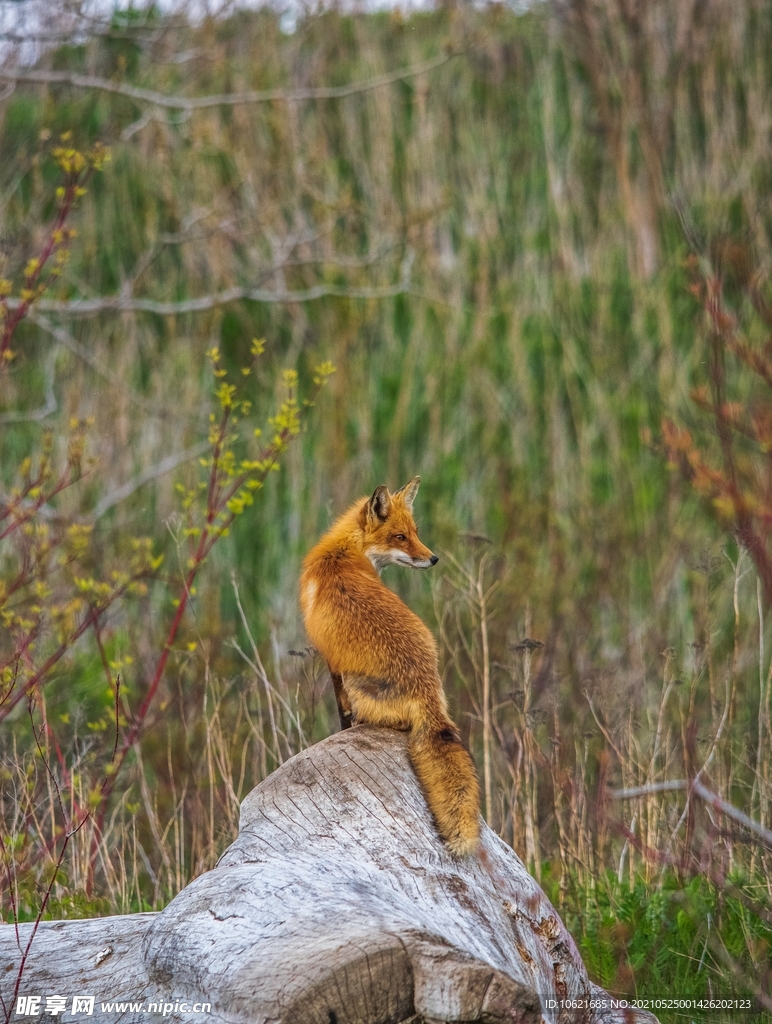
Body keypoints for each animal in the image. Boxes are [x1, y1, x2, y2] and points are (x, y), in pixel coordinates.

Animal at [296, 475, 479, 851]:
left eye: (414, 532)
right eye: (400, 537)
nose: (433, 558)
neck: (343, 554)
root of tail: (426, 690)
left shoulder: (333, 663)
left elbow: (342, 715)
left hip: (358, 685)